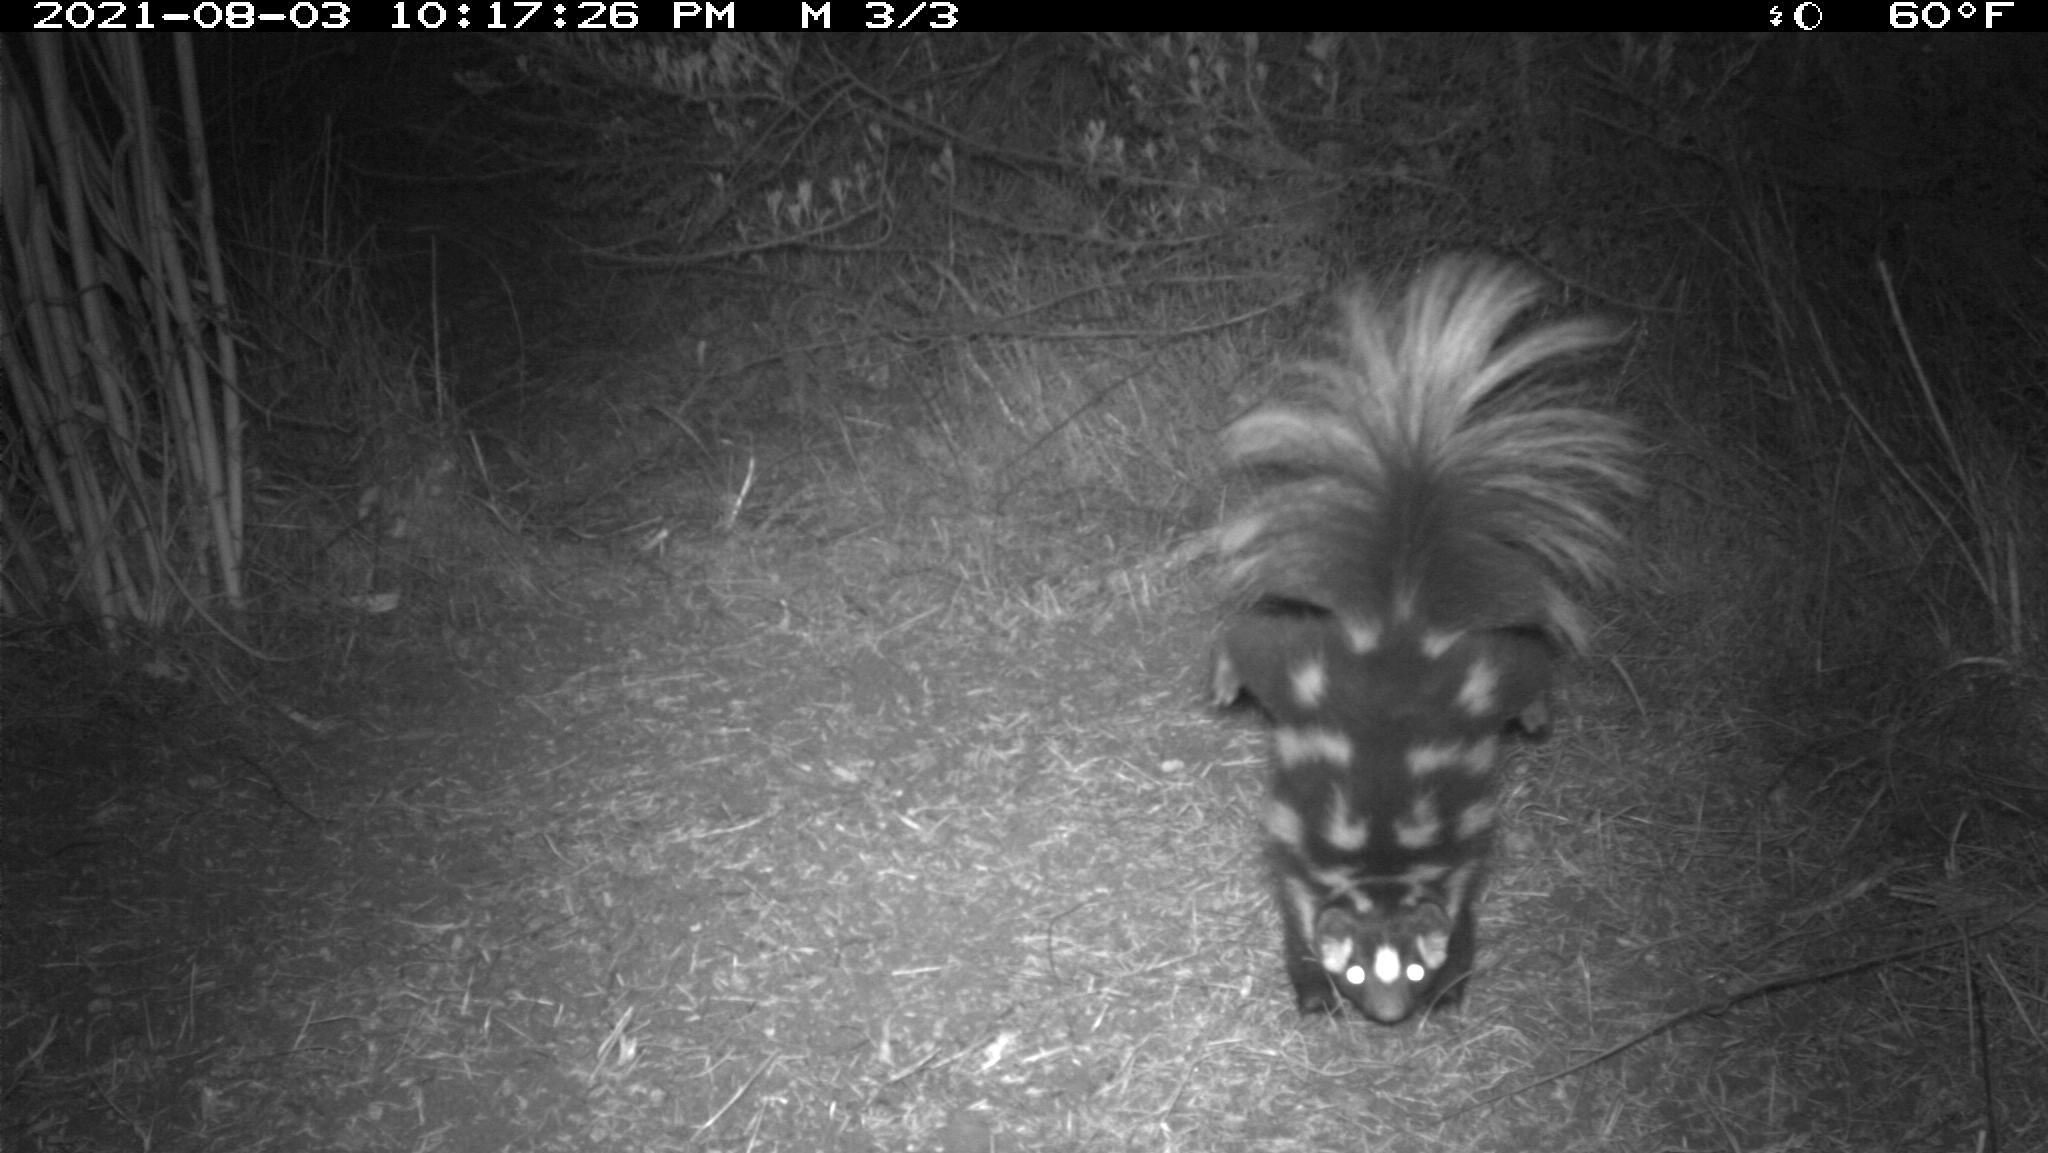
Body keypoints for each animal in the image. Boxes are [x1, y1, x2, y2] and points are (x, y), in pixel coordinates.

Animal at [1212, 257, 1630, 1023]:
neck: (1381, 866)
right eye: (1355, 970)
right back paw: (1225, 679)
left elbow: (1462, 921)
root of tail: (1401, 618)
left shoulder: (1455, 861)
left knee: (1525, 660)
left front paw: (1454, 984)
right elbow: (1296, 922)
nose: (1389, 1013)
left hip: (1462, 670)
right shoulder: (1303, 861)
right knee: (1251, 638)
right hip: (1309, 670)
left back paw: (1536, 715)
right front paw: (1310, 988)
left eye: (1410, 968)